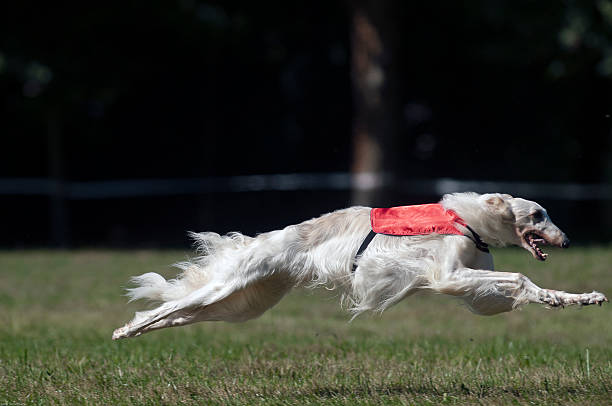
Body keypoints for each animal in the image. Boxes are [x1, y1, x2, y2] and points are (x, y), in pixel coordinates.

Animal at [113, 193, 608, 340]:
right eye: (538, 215)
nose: (568, 240)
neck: (468, 218)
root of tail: (264, 239)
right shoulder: (449, 276)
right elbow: (521, 275)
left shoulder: (474, 285)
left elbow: (528, 287)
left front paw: (580, 297)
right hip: (228, 287)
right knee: (163, 308)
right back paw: (124, 329)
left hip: (244, 303)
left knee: (179, 313)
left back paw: (136, 331)